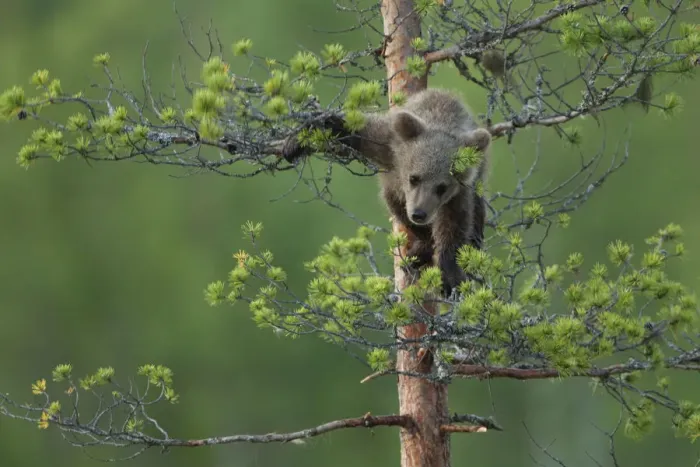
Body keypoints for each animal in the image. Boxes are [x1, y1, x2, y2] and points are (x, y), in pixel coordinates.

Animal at [283, 88, 492, 298]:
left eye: (442, 187)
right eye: (414, 178)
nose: (419, 213)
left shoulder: (458, 194)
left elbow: (454, 227)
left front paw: (449, 276)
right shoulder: (387, 145)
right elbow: (353, 130)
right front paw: (296, 141)